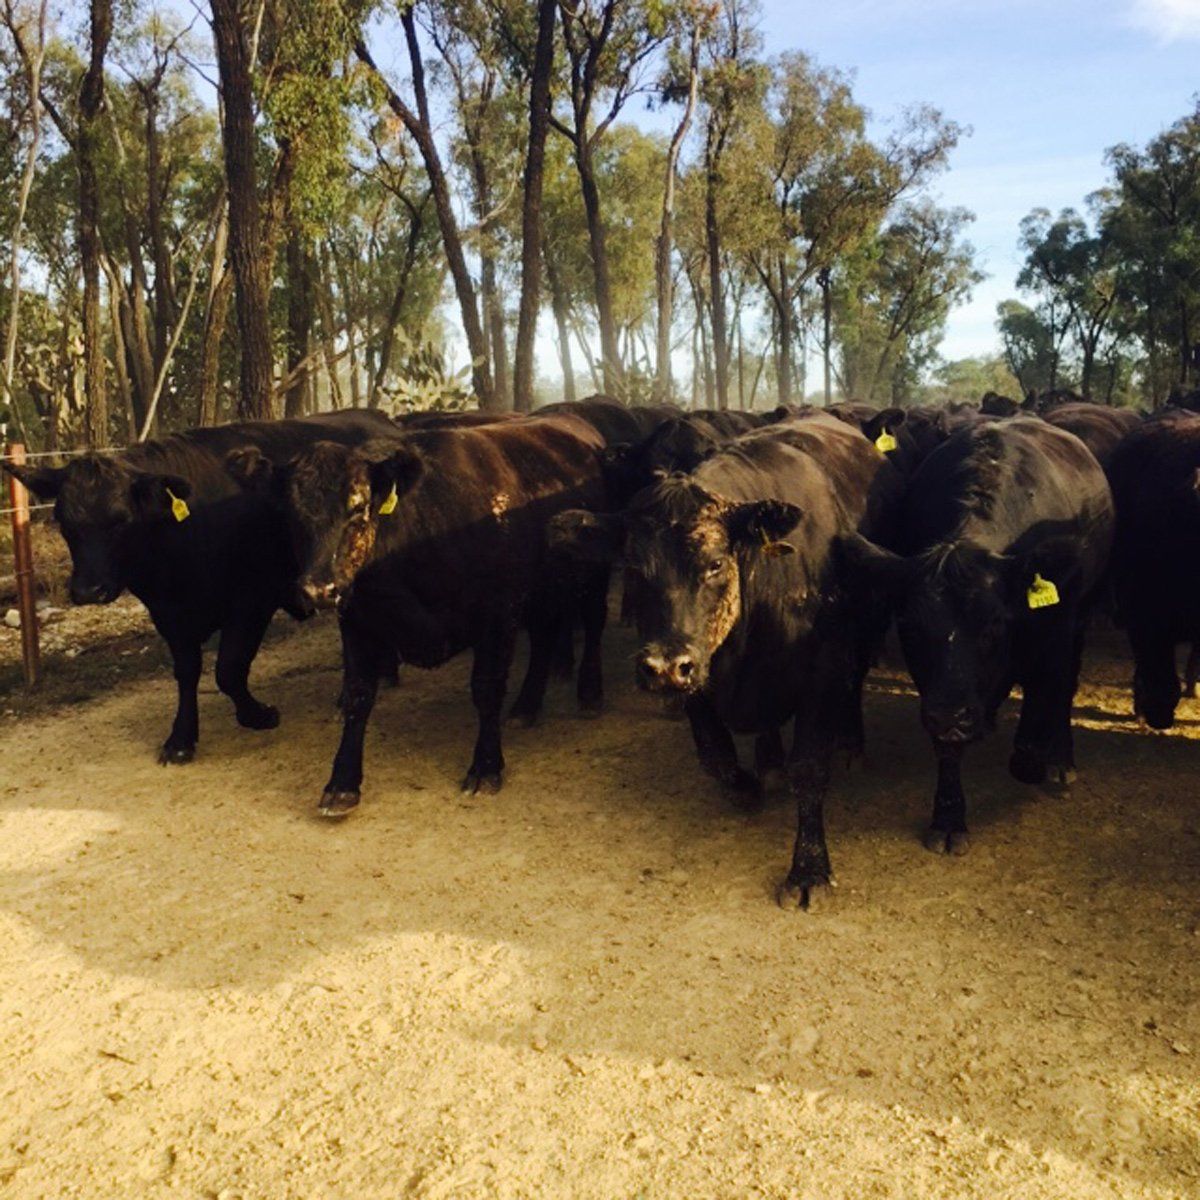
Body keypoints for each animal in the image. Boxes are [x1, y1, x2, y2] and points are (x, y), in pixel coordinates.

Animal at [3, 411, 396, 764]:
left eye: (120, 520)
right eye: (62, 520)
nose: (88, 590)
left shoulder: (250, 602)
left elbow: (228, 669)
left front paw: (256, 715)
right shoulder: (169, 615)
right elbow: (187, 672)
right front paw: (181, 738)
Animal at [230, 414, 611, 815]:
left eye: (358, 508)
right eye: (291, 515)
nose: (319, 589)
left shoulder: (498, 615)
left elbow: (487, 689)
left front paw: (486, 767)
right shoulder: (357, 620)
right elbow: (357, 695)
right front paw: (342, 783)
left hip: (593, 576)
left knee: (593, 622)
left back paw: (589, 694)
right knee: (544, 637)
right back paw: (526, 706)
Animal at [549, 413, 903, 910]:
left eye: (716, 563)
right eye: (634, 568)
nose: (662, 665)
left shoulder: (823, 670)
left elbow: (810, 768)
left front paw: (809, 869)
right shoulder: (697, 672)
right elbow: (715, 755)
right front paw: (748, 788)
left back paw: (850, 742)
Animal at [839, 418, 1114, 855]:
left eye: (994, 625)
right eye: (911, 627)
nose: (954, 716)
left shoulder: (1055, 630)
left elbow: (1046, 695)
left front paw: (1037, 757)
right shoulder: (939, 689)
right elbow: (948, 747)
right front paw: (949, 819)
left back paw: (1059, 758)